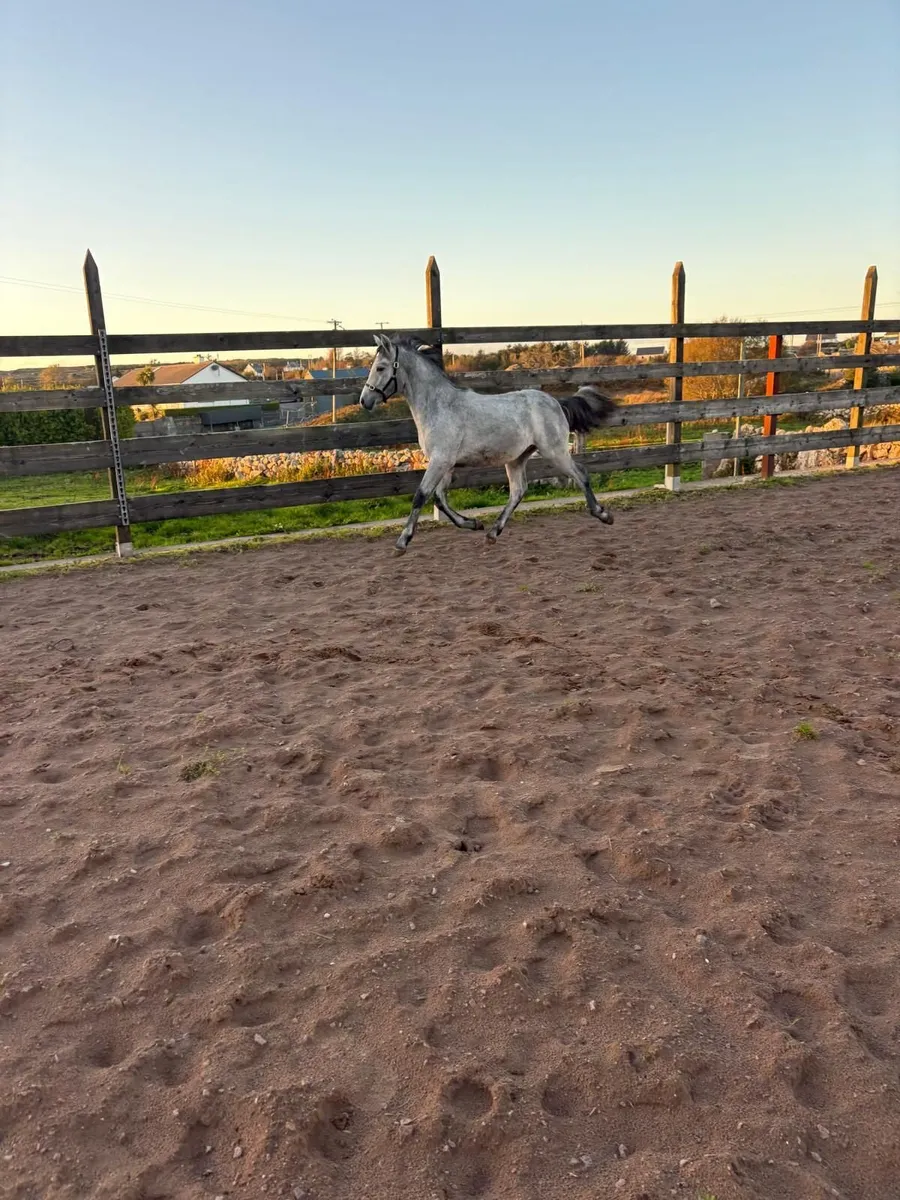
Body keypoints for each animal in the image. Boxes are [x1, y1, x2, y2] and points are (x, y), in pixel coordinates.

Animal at [359, 334, 618, 553]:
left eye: (380, 367)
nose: (365, 401)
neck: (439, 406)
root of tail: (557, 402)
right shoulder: (445, 464)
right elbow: (440, 499)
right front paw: (474, 523)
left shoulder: (440, 461)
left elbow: (421, 495)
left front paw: (402, 542)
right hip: (517, 458)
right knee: (518, 490)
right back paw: (493, 532)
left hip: (554, 451)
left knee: (581, 473)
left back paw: (604, 515)